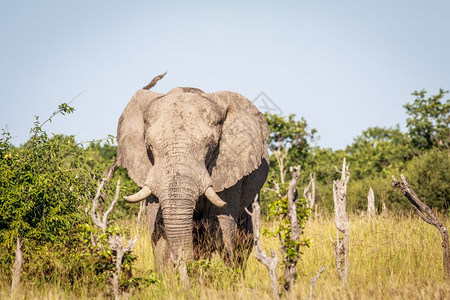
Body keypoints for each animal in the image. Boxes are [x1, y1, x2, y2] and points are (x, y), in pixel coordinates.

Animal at [117, 73, 270, 276]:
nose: (183, 266)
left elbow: (217, 224)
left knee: (245, 236)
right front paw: (169, 280)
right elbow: (158, 222)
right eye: (149, 146)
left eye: (210, 145)